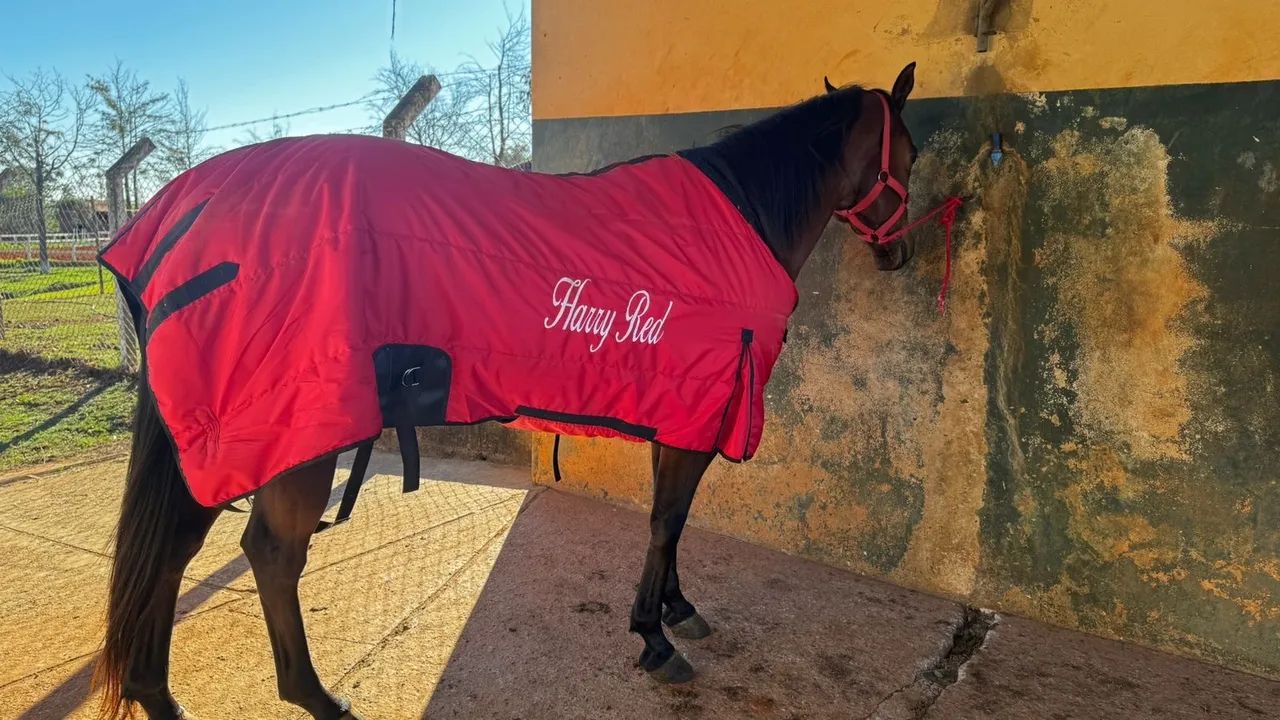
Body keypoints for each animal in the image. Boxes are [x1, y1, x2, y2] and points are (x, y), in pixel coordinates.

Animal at [93, 62, 924, 719]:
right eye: (912, 152)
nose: (901, 255)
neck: (739, 220)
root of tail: (180, 213)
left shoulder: (683, 416)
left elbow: (674, 523)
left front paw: (678, 609)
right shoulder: (695, 417)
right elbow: (666, 521)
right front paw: (653, 635)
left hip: (219, 432)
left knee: (173, 548)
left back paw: (158, 694)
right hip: (292, 431)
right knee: (269, 552)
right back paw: (316, 698)